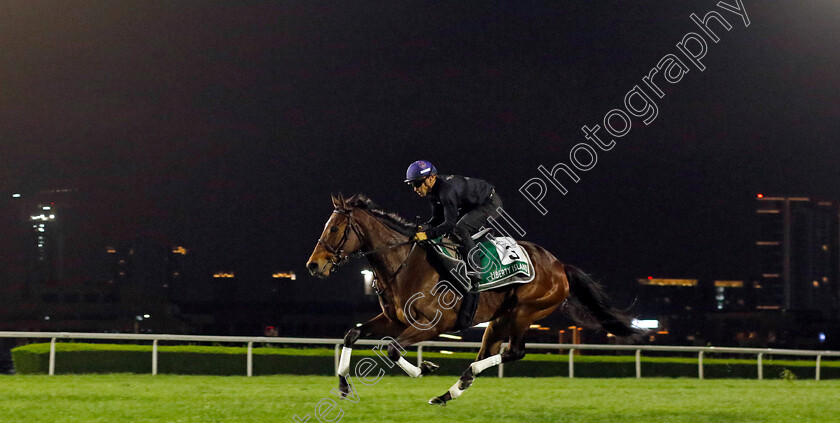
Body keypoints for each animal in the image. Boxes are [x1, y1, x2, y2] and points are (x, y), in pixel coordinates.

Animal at [308, 194, 644, 406]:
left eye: (335, 228)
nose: (314, 265)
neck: (405, 263)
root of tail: (560, 266)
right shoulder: (394, 319)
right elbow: (352, 334)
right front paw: (343, 385)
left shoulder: (434, 325)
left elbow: (391, 349)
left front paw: (424, 368)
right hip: (499, 320)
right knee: (487, 353)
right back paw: (451, 391)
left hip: (524, 312)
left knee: (514, 352)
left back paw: (460, 381)